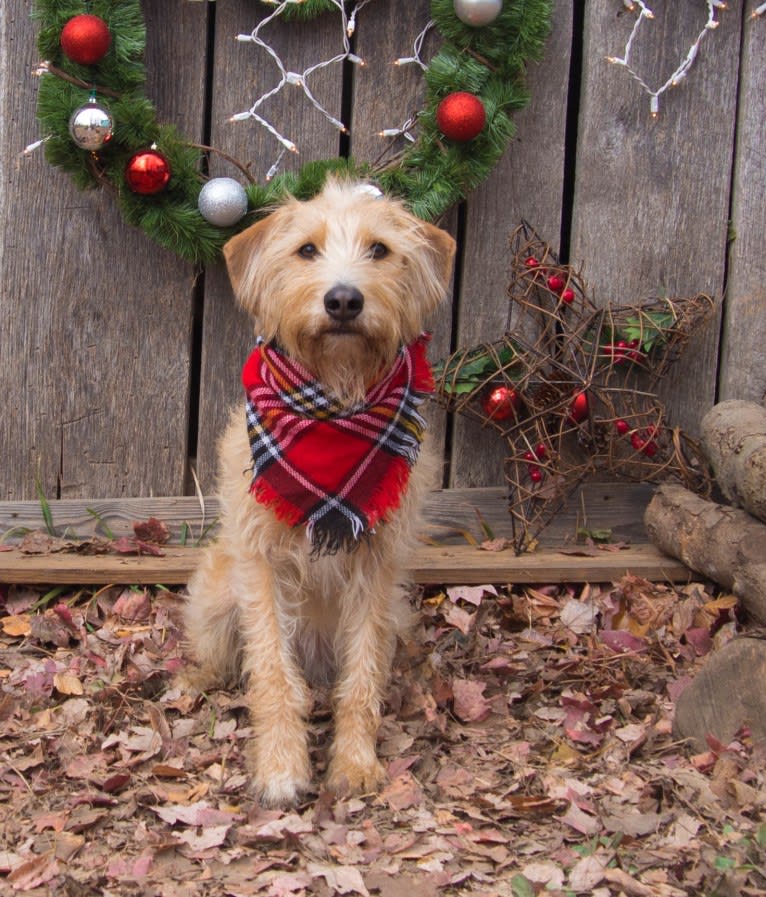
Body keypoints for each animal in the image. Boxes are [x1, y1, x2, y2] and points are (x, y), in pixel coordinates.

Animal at [183, 177, 456, 804]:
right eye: (306, 250)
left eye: (379, 249)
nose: (344, 300)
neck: (334, 398)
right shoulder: (260, 562)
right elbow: (271, 673)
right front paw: (282, 766)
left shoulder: (377, 566)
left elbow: (361, 677)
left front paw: (354, 763)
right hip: (217, 594)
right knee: (225, 655)